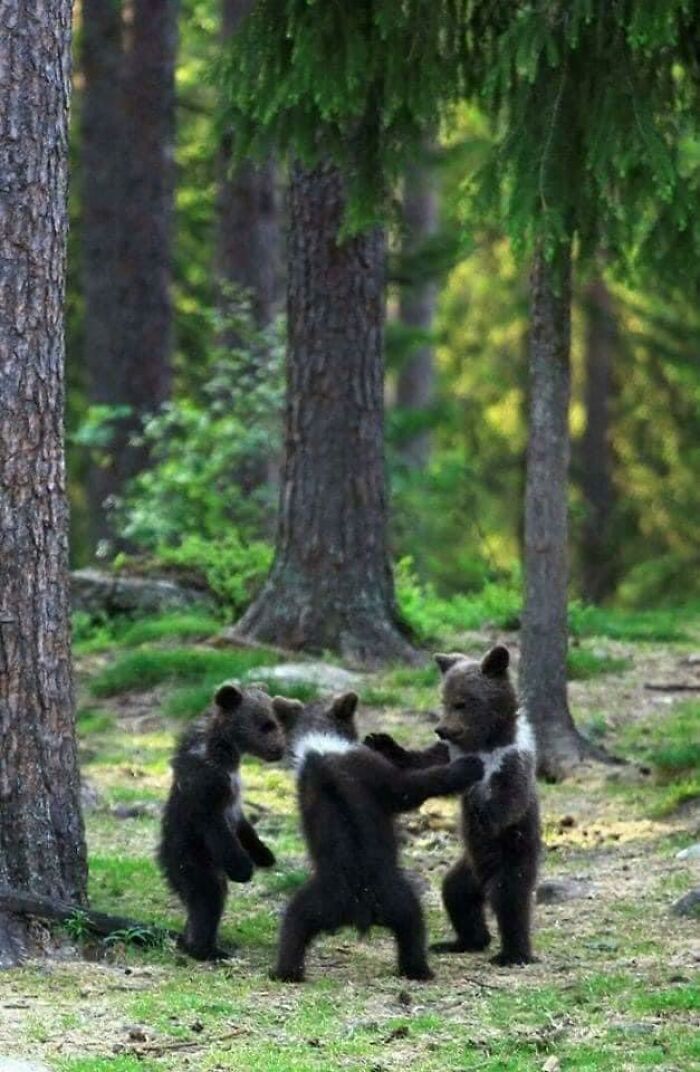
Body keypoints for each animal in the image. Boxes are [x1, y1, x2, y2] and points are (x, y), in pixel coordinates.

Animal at [158, 681, 302, 961]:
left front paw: (265, 855)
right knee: (207, 896)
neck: (226, 753)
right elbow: (218, 829)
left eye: (277, 721)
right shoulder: (207, 790)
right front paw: (244, 868)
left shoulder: (234, 791)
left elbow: (243, 825)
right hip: (191, 857)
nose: (279, 750)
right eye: (265, 725)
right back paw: (206, 950)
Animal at [269, 690, 485, 982]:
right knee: (413, 928)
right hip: (396, 897)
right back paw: (420, 970)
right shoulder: (376, 774)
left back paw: (285, 972)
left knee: (293, 929)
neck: (320, 745)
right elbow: (412, 787)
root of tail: (358, 911)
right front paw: (468, 766)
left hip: (316, 905)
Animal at [364, 645, 541, 966]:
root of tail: (484, 882)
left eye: (462, 703)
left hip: (512, 855)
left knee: (510, 901)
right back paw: (464, 941)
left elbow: (509, 800)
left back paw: (513, 953)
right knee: (457, 896)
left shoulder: (511, 761)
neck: (483, 743)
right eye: (444, 701)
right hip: (468, 868)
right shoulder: (449, 754)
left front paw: (482, 811)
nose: (441, 729)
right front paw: (381, 742)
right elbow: (421, 762)